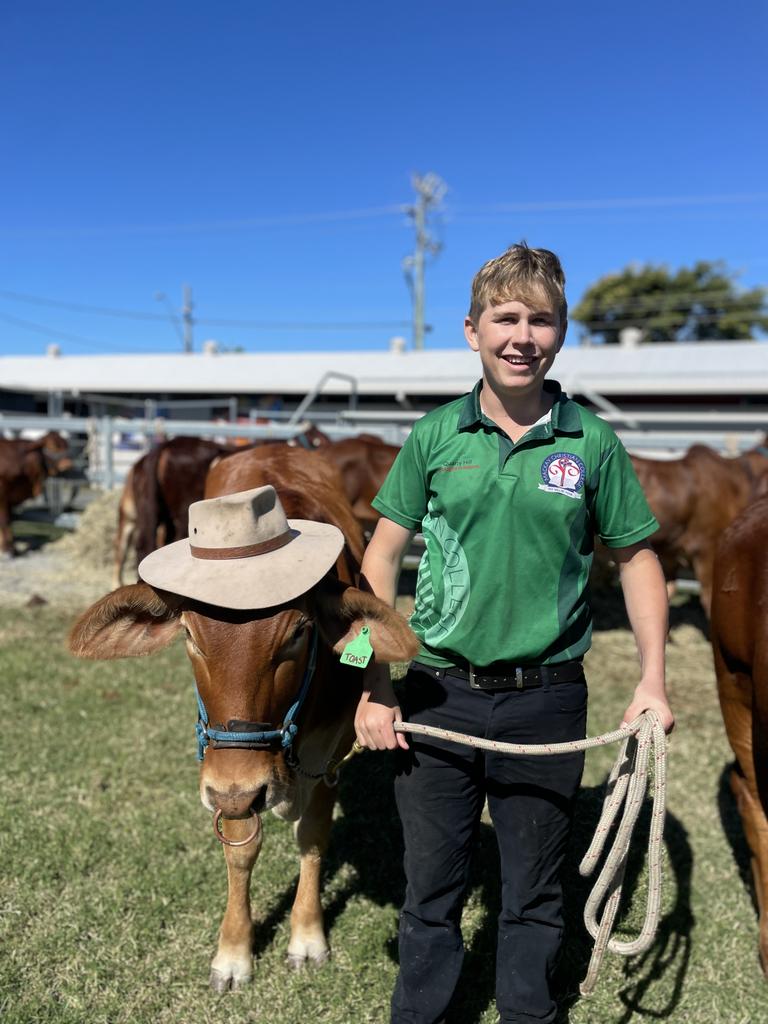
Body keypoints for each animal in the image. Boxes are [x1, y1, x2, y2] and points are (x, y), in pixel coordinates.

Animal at [70, 444, 421, 987]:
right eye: (189, 634)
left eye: (298, 631)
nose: (240, 791)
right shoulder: (229, 776)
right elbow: (240, 849)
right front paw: (234, 952)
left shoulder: (330, 753)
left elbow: (312, 837)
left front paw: (307, 936)